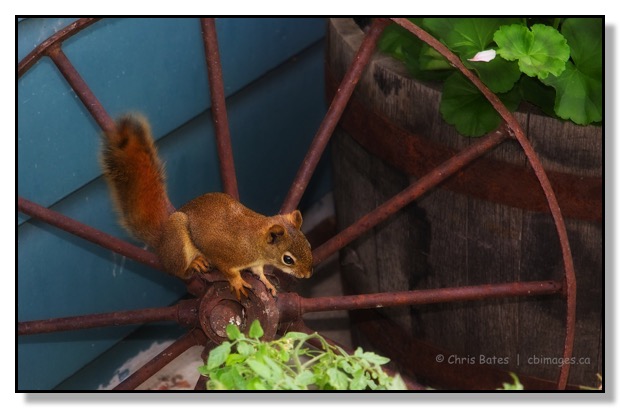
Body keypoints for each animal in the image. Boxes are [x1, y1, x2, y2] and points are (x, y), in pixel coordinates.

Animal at [102, 115, 314, 300]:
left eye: (309, 244)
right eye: (288, 259)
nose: (307, 275)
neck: (254, 242)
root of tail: (161, 244)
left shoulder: (256, 263)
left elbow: (259, 272)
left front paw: (267, 283)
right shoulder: (223, 253)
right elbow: (228, 270)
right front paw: (237, 282)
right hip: (178, 241)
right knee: (178, 271)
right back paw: (194, 263)